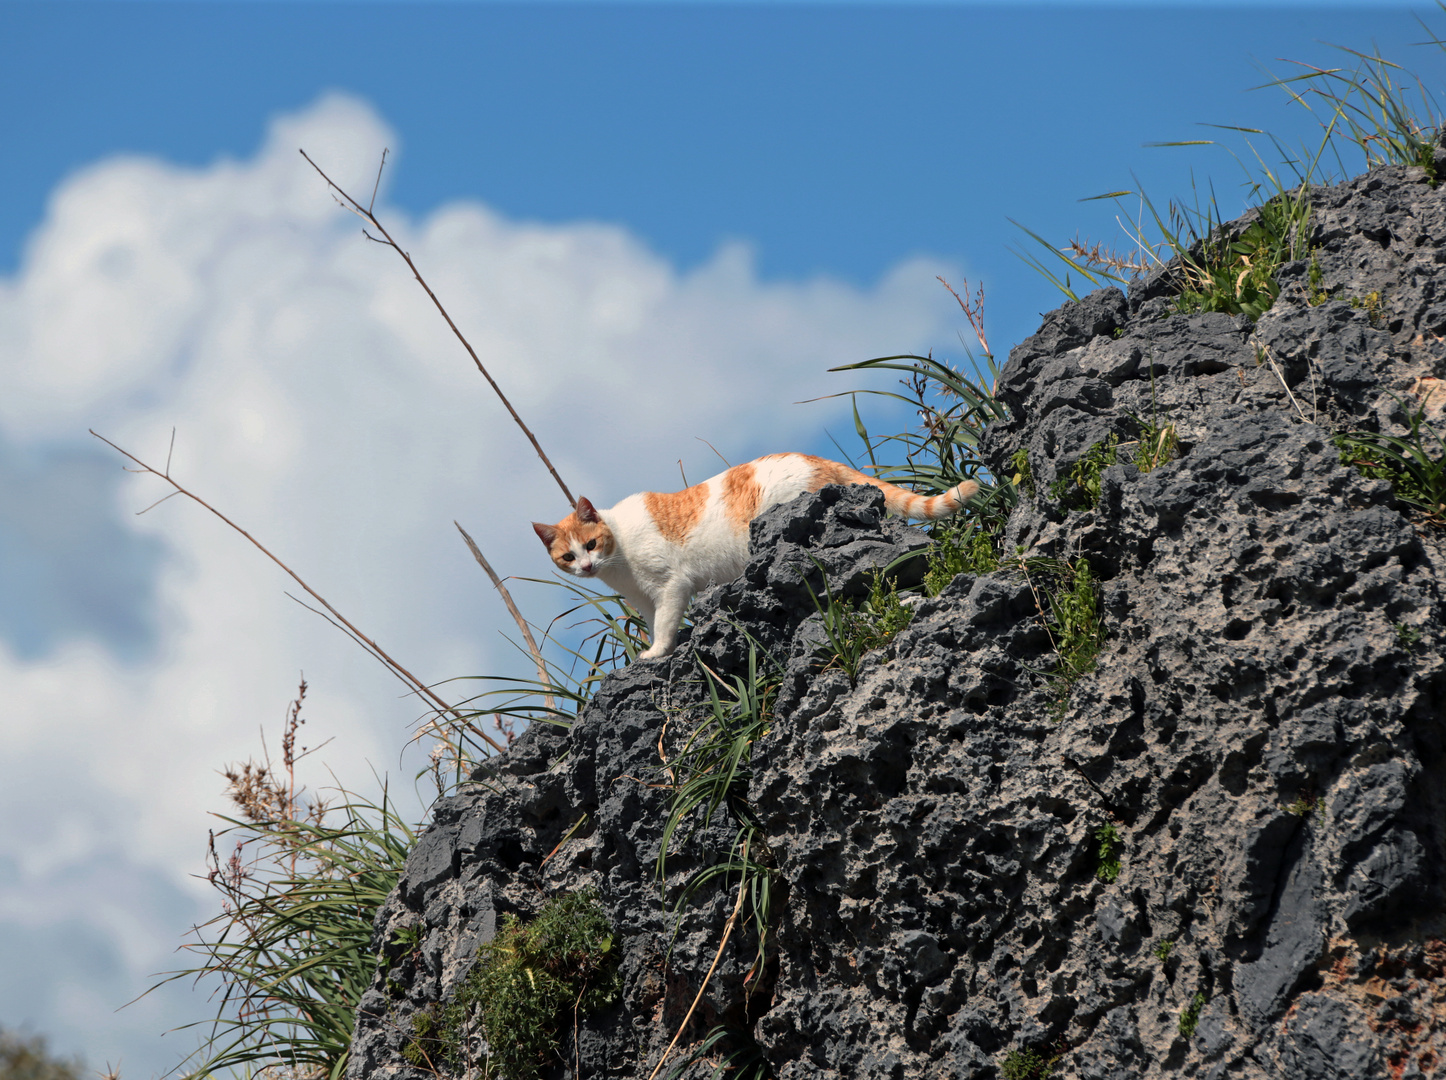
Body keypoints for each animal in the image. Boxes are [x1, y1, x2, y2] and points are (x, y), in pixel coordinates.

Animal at [535, 453, 983, 659]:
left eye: (591, 545)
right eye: (568, 557)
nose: (587, 566)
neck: (619, 558)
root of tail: (812, 456)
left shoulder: (671, 586)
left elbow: (663, 626)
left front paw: (657, 652)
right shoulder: (644, 599)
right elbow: (652, 621)